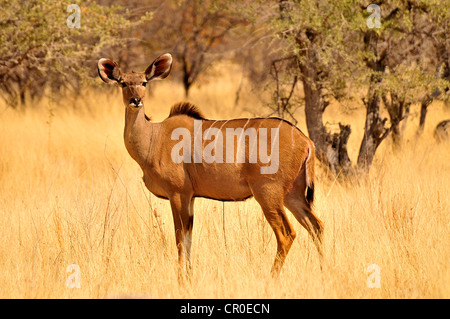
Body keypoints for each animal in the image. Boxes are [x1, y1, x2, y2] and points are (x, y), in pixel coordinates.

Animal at [98, 53, 324, 278]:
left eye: (144, 82)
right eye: (123, 83)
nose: (136, 100)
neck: (155, 137)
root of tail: (306, 141)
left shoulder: (177, 193)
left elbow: (180, 238)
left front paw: (181, 278)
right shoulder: (190, 197)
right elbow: (188, 237)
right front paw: (189, 275)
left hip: (268, 193)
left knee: (287, 234)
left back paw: (271, 277)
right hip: (292, 195)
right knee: (317, 226)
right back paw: (324, 268)